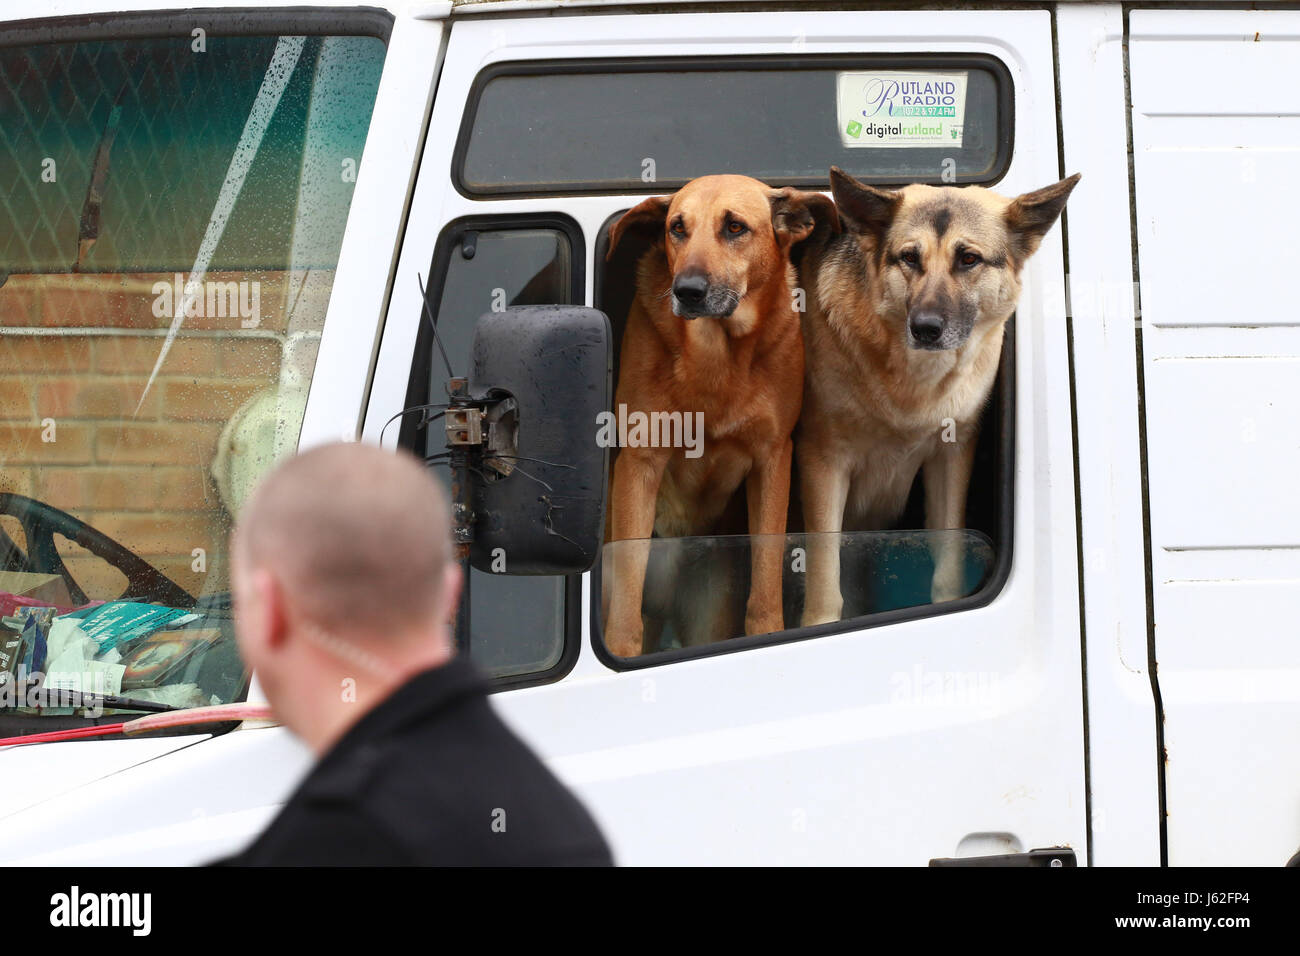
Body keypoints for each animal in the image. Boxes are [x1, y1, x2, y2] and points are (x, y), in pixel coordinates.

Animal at [603, 174, 837, 658]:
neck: (716, 354)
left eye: (734, 227)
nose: (687, 291)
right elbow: (626, 600)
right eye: (676, 227)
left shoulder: (772, 460)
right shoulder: (640, 462)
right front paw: (619, 650)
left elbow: (765, 583)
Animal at [795, 166, 1081, 629]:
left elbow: (948, 560)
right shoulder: (823, 462)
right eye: (910, 258)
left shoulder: (951, 457)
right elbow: (824, 577)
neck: (911, 380)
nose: (926, 328)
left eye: (968, 259)